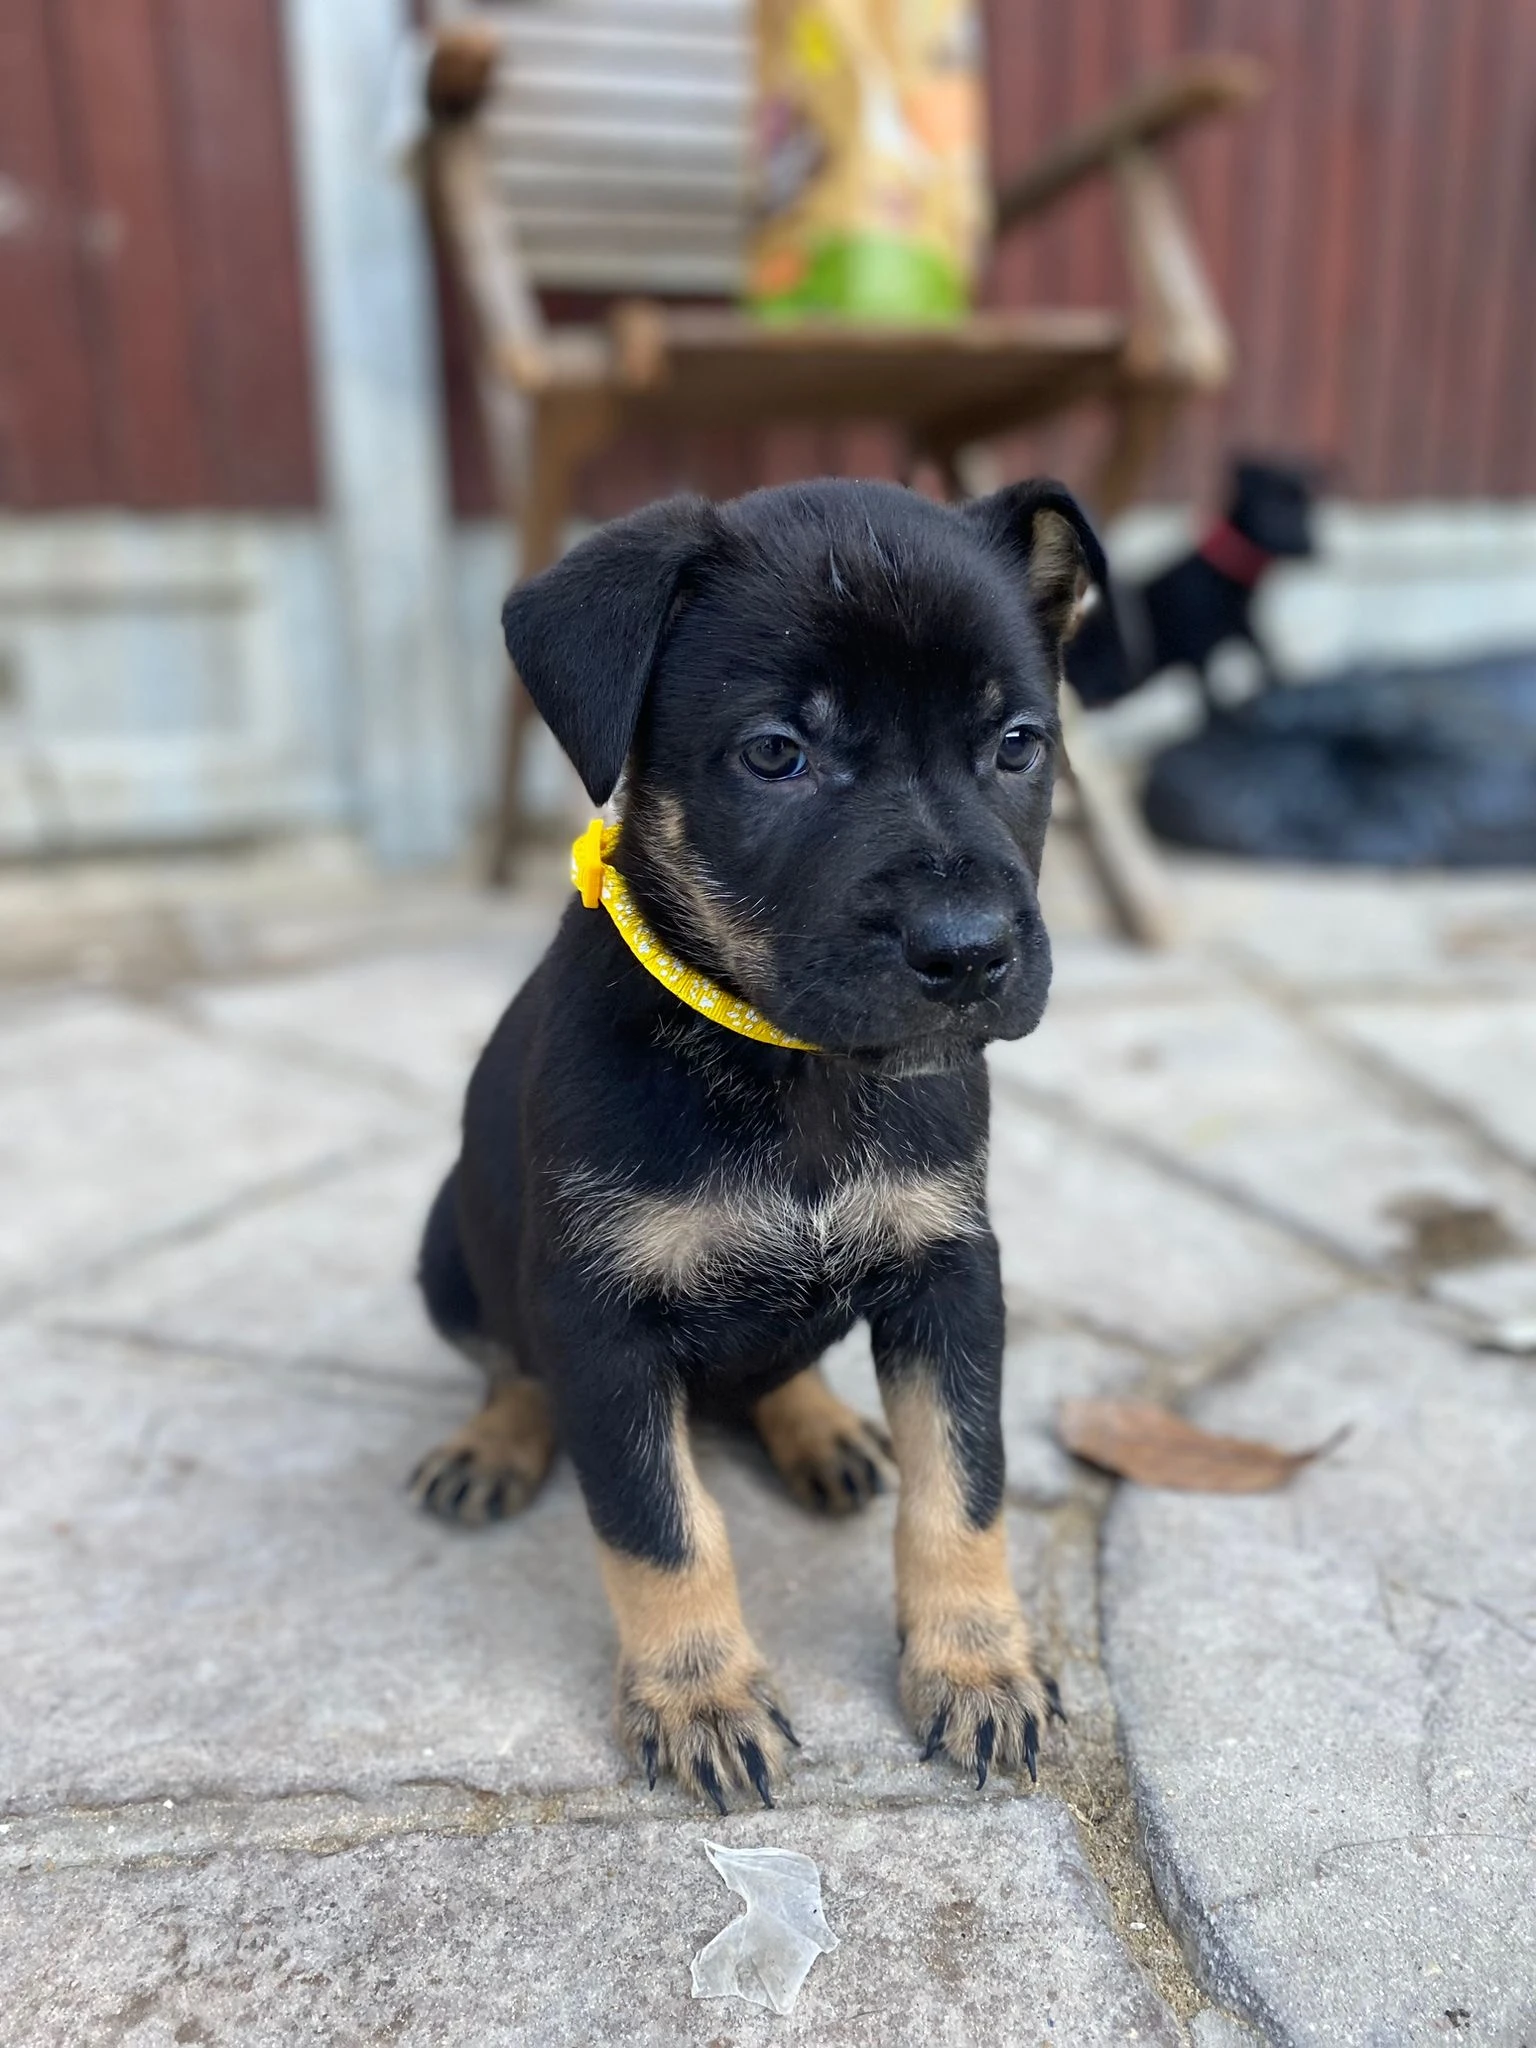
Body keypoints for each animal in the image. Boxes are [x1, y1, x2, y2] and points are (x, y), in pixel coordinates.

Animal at [415, 475, 1097, 1810]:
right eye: (777, 753)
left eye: (1017, 743)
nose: (971, 953)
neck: (795, 1066)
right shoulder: (600, 1316)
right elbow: (661, 1524)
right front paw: (700, 1694)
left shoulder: (950, 1269)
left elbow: (963, 1483)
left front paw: (977, 1664)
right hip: (447, 1245)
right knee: (508, 1358)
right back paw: (496, 1438)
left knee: (788, 1367)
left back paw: (821, 1426)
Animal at [1064, 456, 1318, 712]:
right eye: (1272, 508)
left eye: (1305, 507)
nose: (1309, 547)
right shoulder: (1199, 649)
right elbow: (1214, 697)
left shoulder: (1243, 628)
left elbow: (1264, 658)